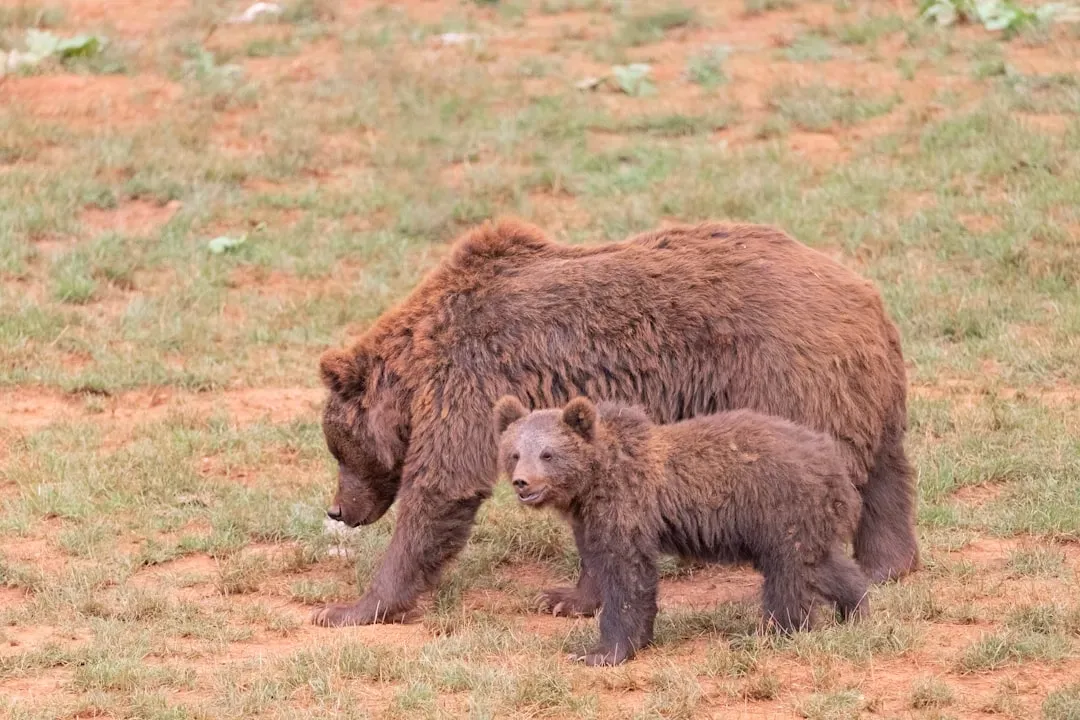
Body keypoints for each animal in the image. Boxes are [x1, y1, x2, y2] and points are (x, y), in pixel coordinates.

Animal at [311, 218, 915, 628]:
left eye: (338, 450)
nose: (339, 509)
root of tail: (865, 295)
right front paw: (567, 597)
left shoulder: (469, 379)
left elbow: (441, 487)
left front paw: (353, 607)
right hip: (865, 391)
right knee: (887, 477)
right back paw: (888, 564)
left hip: (784, 380)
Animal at [494, 395, 870, 666]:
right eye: (514, 453)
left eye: (547, 454)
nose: (522, 483)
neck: (591, 484)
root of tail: (834, 464)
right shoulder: (590, 520)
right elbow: (598, 563)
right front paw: (557, 599)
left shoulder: (627, 507)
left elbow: (627, 577)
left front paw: (601, 651)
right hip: (803, 520)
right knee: (821, 564)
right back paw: (854, 608)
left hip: (779, 509)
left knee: (788, 575)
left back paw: (768, 633)